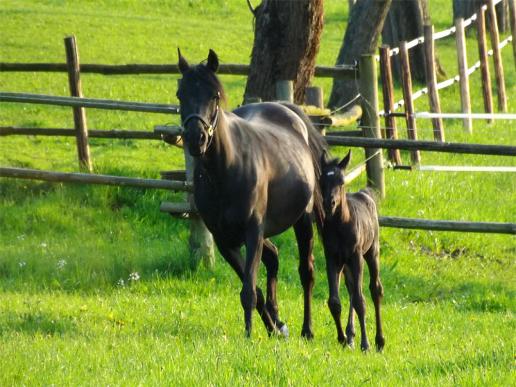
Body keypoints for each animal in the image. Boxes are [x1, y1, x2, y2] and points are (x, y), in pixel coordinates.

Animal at [320, 152, 384, 352]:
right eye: (322, 179)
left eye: (341, 181)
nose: (329, 203)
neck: (340, 226)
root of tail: (364, 194)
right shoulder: (332, 259)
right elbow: (334, 301)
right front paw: (342, 338)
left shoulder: (356, 258)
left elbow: (360, 301)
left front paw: (366, 344)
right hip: (345, 264)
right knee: (350, 289)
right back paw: (350, 336)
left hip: (371, 253)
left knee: (374, 289)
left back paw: (379, 340)